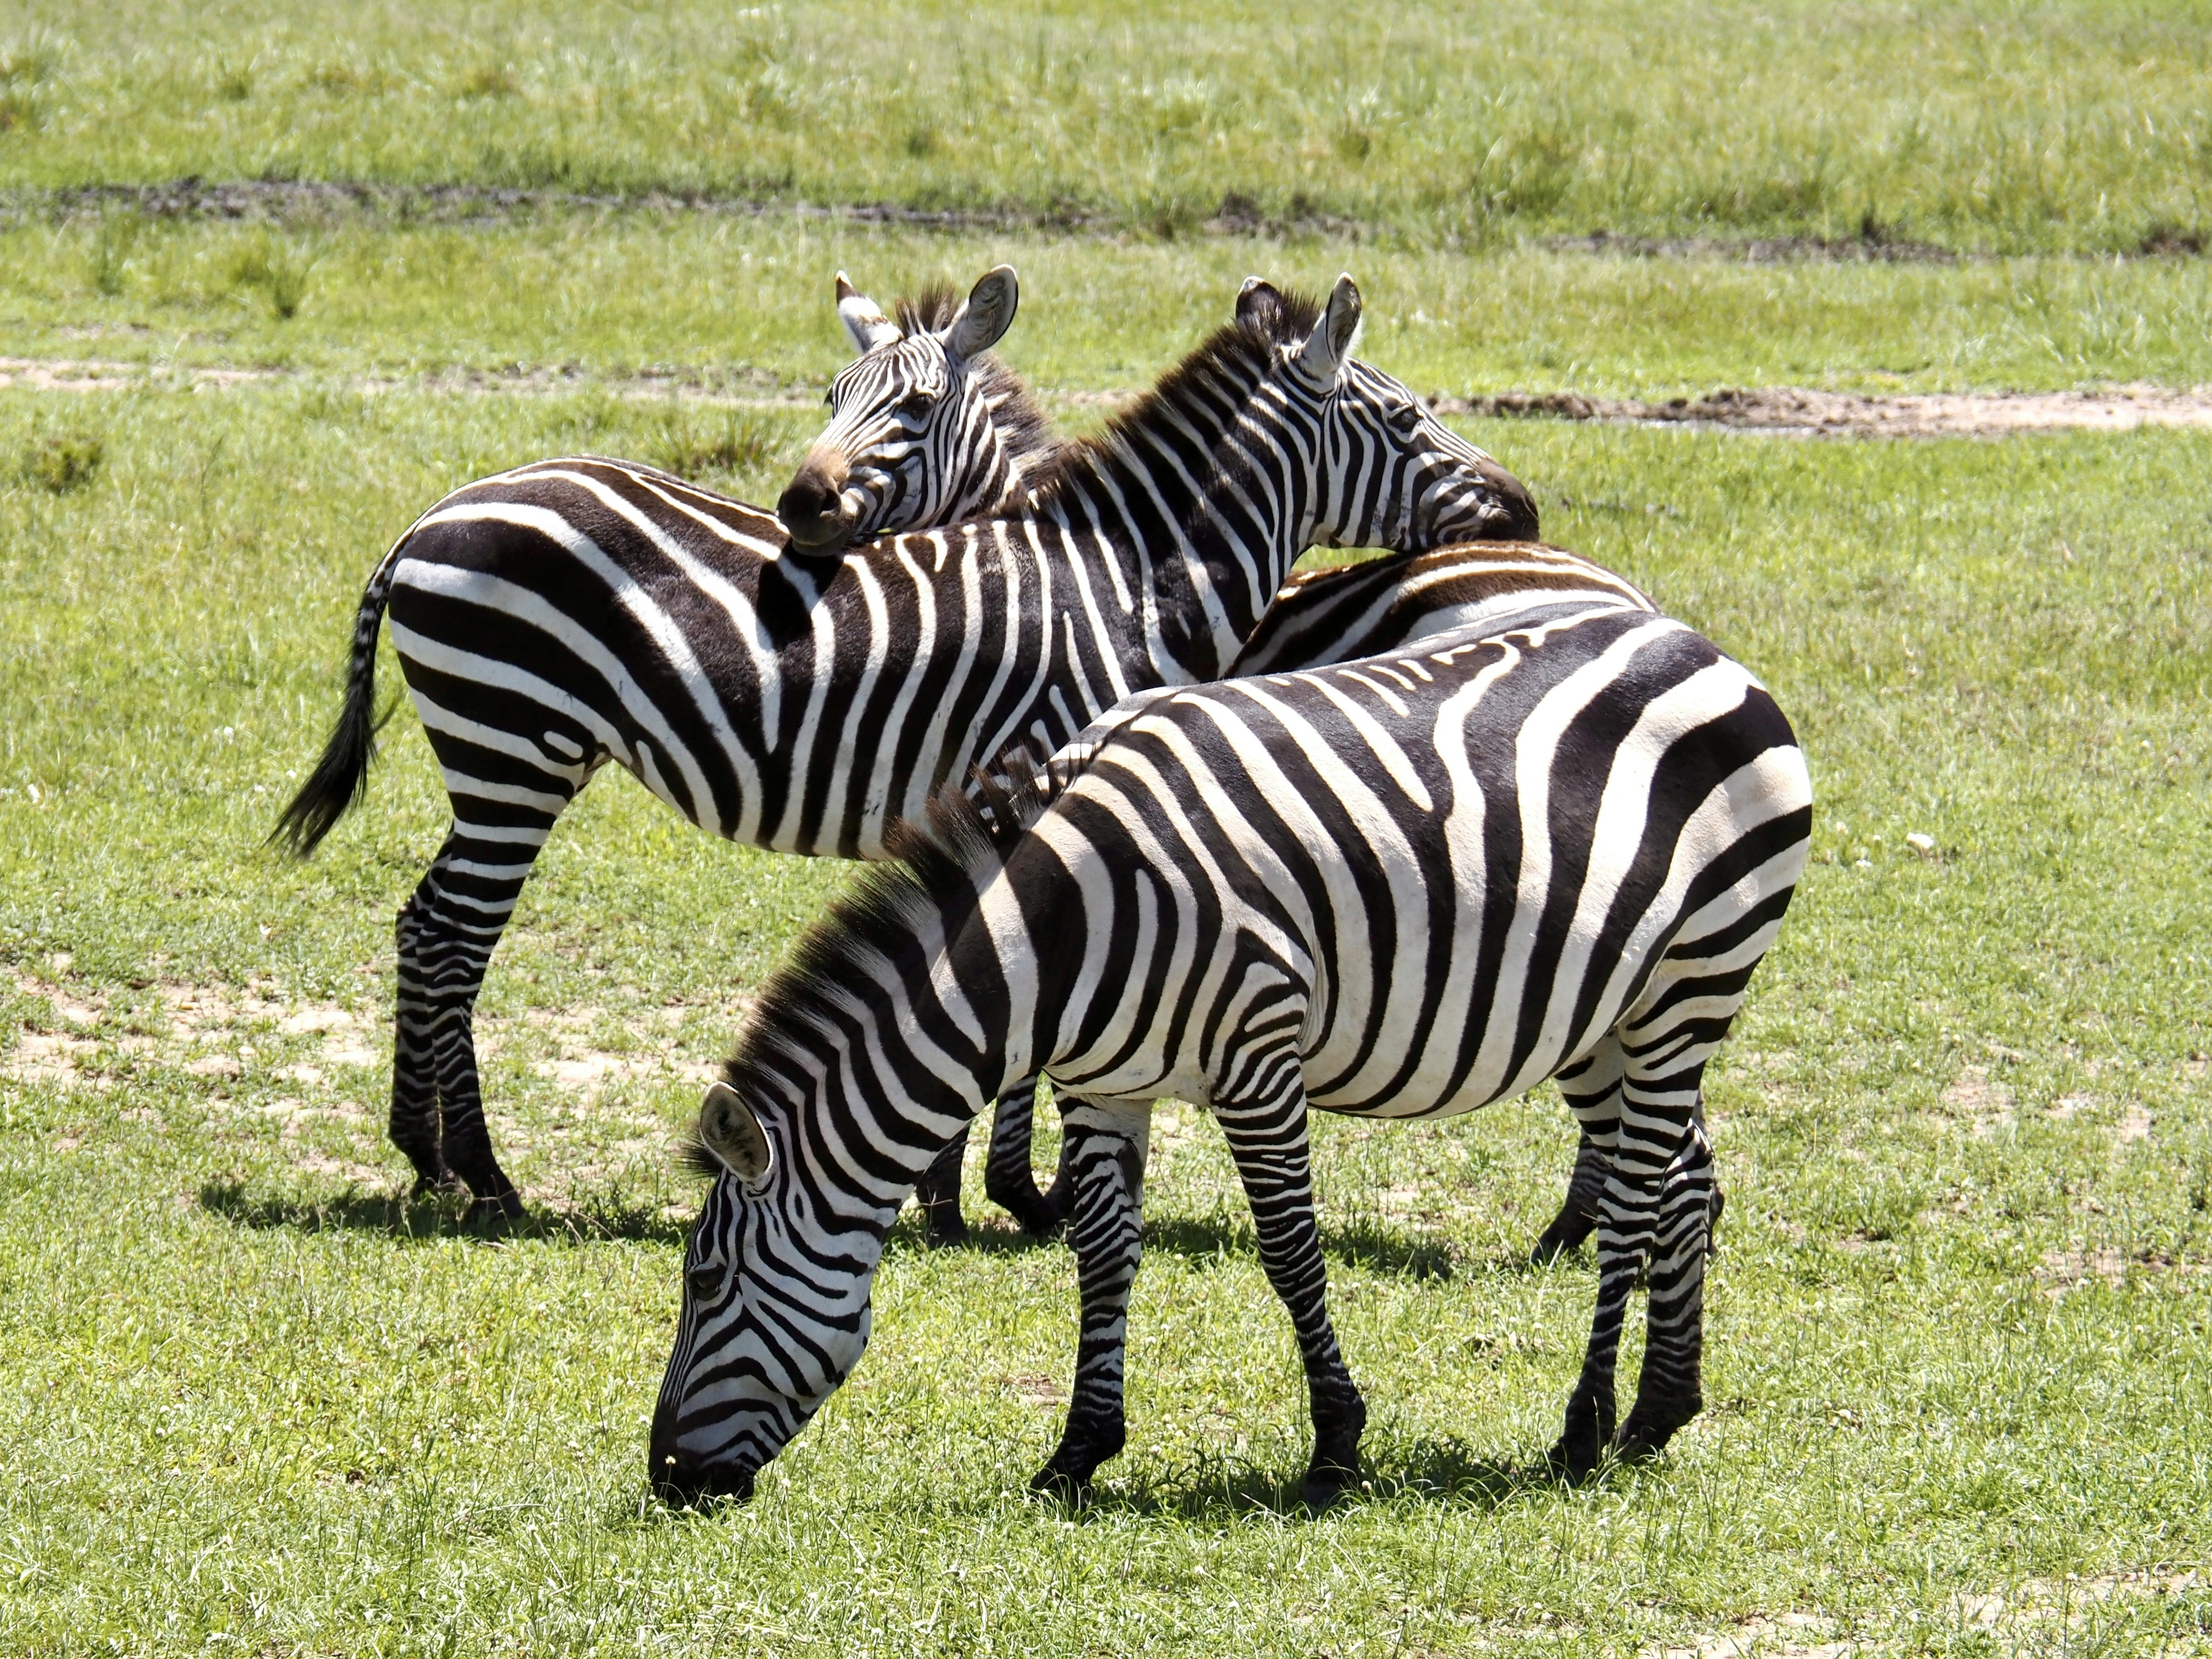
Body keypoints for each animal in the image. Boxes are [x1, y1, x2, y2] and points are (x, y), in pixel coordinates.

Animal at [272, 271, 1540, 1221]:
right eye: (1406, 418)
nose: (1523, 509)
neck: (1121, 581)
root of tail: (432, 517)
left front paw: (949, 1188)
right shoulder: (1041, 766)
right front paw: (1015, 1192)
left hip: (512, 754)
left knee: (425, 923)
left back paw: (427, 1154)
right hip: (512, 749)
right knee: (450, 935)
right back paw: (480, 1174)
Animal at [649, 593, 1811, 1508]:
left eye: (704, 1279)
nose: (666, 1478)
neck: (1061, 936)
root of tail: (1699, 645)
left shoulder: (1258, 1058)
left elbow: (1290, 1254)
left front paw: (1336, 1446)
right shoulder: (1101, 1083)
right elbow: (1103, 1257)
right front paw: (1078, 1451)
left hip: (1694, 978)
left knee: (1634, 1203)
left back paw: (1582, 1428)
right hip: (1606, 1012)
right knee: (1686, 1179)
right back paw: (1658, 1411)